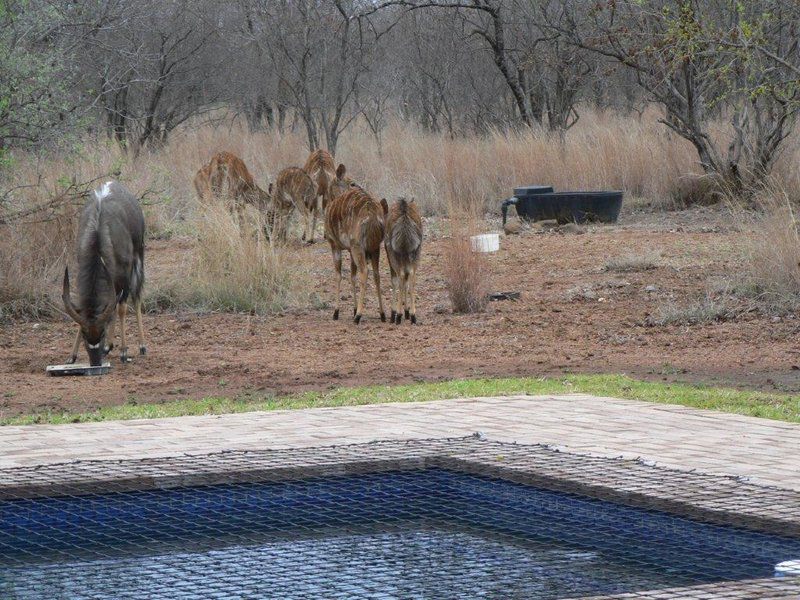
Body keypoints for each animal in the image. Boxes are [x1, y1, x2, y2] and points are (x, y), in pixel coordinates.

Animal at [62, 180, 147, 364]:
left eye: (101, 333)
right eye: (85, 335)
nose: (95, 360)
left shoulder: (125, 274)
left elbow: (122, 307)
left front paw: (124, 352)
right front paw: (72, 356)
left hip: (138, 259)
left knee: (136, 297)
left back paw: (142, 346)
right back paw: (110, 346)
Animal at [324, 188, 390, 324]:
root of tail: (372, 215)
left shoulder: (335, 246)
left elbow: (338, 276)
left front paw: (336, 312)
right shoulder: (350, 250)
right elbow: (352, 276)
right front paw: (353, 310)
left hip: (358, 248)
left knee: (364, 271)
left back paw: (358, 316)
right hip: (375, 249)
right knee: (376, 274)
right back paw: (382, 314)